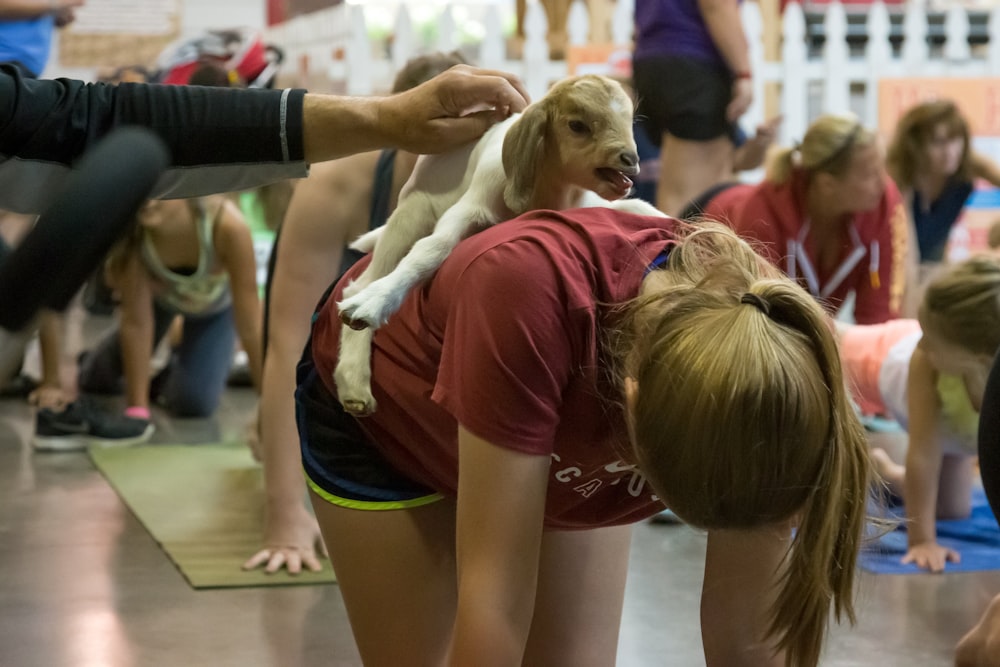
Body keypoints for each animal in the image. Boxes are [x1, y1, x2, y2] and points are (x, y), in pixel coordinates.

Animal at [334, 74, 664, 418]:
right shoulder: (470, 207)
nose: (630, 159)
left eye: (630, 120)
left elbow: (641, 207)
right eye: (577, 125)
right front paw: (373, 304)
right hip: (410, 215)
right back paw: (355, 377)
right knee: (361, 282)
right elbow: (431, 249)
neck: (549, 194)